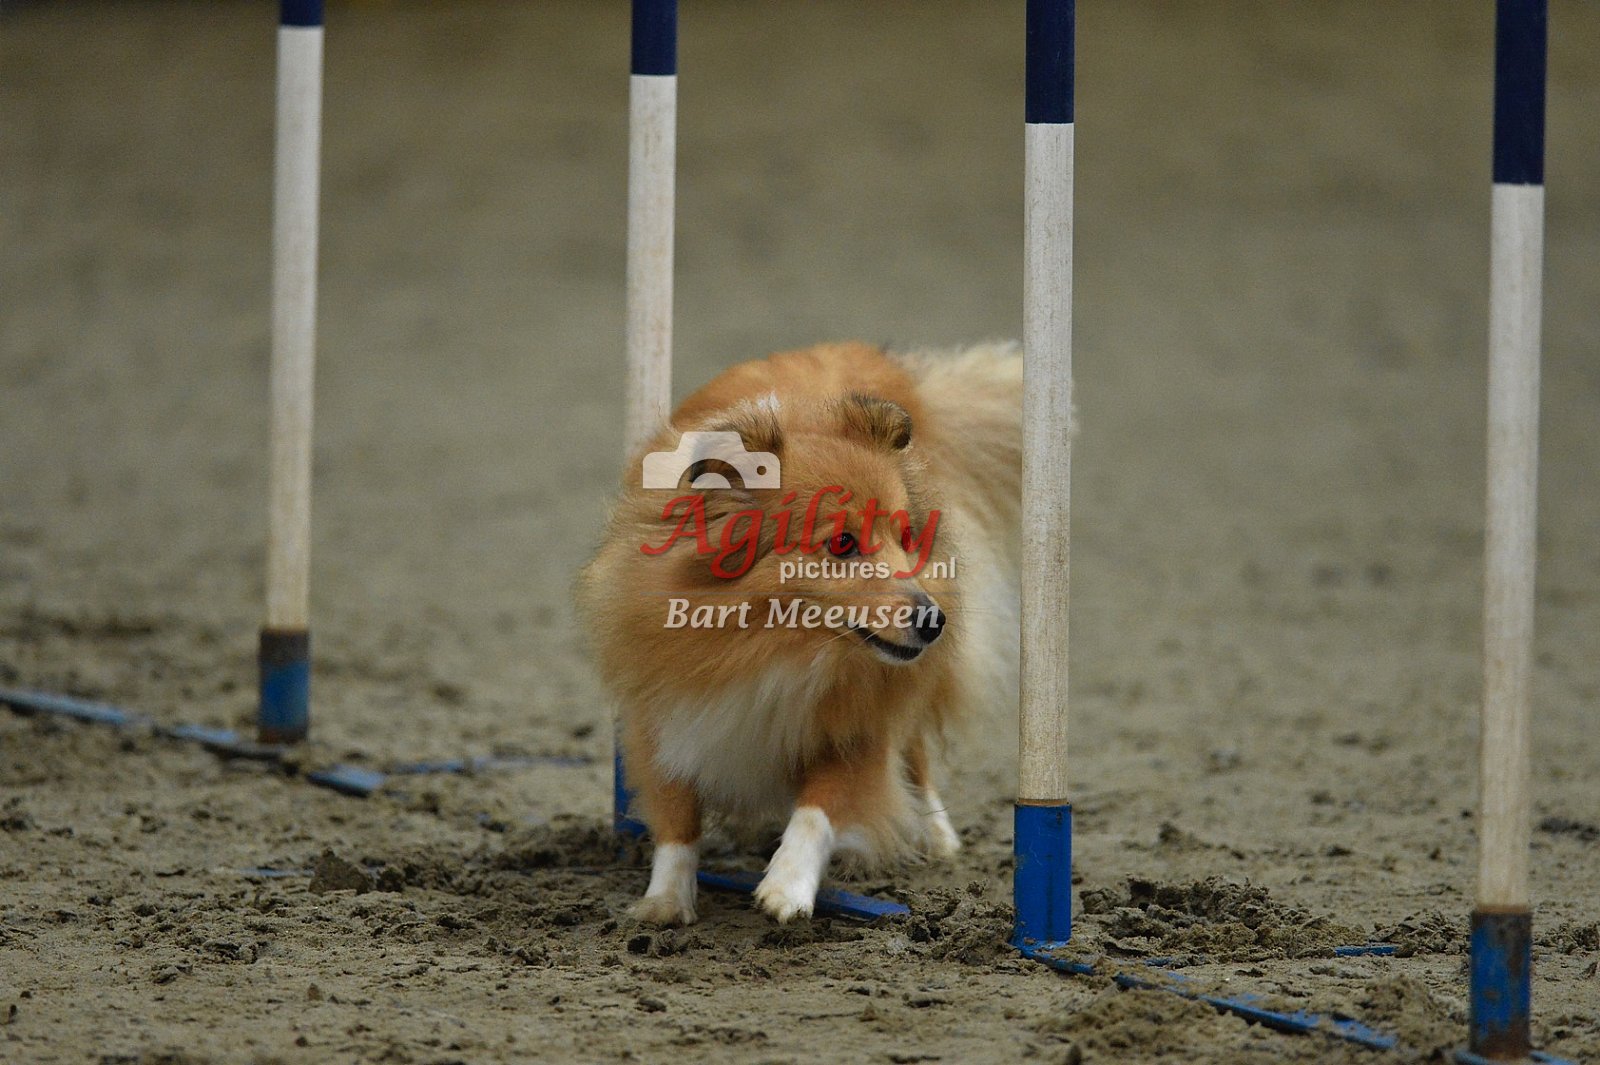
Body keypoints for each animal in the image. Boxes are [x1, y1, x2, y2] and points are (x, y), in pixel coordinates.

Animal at [578, 340, 1022, 924]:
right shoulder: (665, 710)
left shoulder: (858, 722)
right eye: (842, 544)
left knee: (917, 751)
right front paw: (666, 901)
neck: (770, 645)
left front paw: (786, 887)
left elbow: (820, 805)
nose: (934, 623)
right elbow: (677, 815)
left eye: (906, 538)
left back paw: (937, 835)